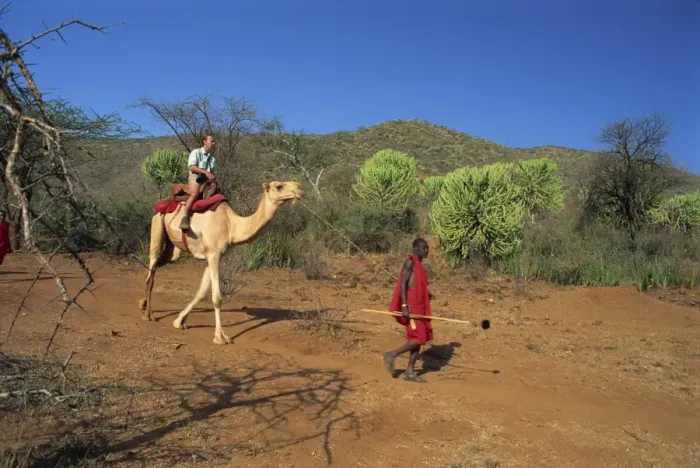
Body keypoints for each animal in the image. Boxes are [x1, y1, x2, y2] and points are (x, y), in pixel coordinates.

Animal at [138, 180, 304, 345]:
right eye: (279, 186)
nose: (300, 188)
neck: (232, 226)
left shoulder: (213, 255)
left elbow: (201, 291)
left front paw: (179, 321)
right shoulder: (213, 254)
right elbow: (217, 298)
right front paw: (220, 337)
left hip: (174, 250)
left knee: (153, 268)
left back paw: (142, 304)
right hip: (157, 226)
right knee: (152, 268)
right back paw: (148, 315)